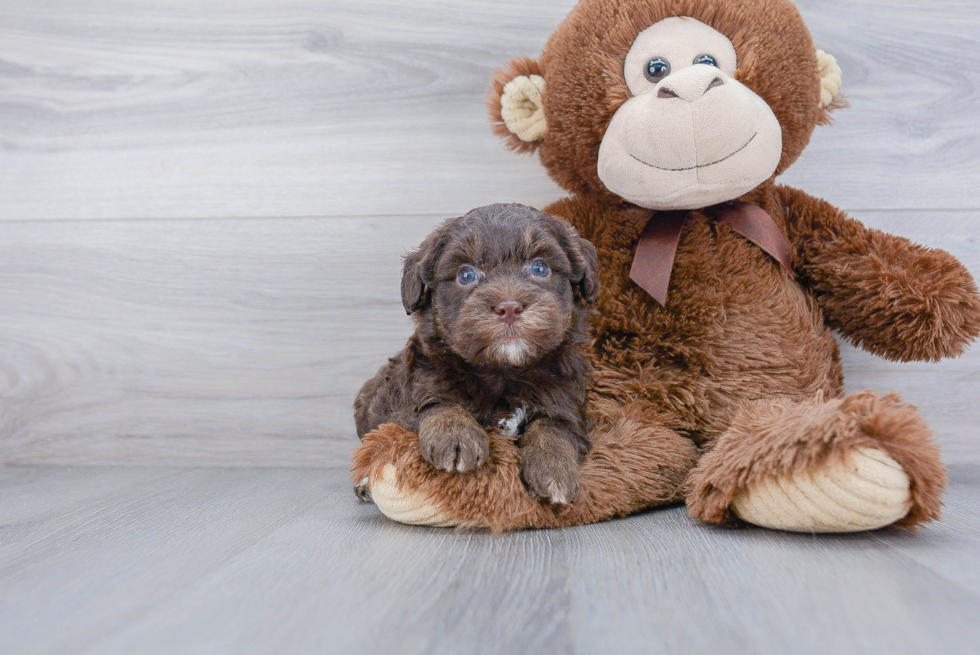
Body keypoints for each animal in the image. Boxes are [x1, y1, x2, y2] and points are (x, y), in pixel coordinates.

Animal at [352, 202, 596, 504]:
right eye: (466, 275)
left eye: (540, 268)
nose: (509, 307)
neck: (503, 371)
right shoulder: (412, 396)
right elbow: (439, 405)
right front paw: (455, 437)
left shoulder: (566, 404)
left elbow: (554, 428)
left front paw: (554, 469)